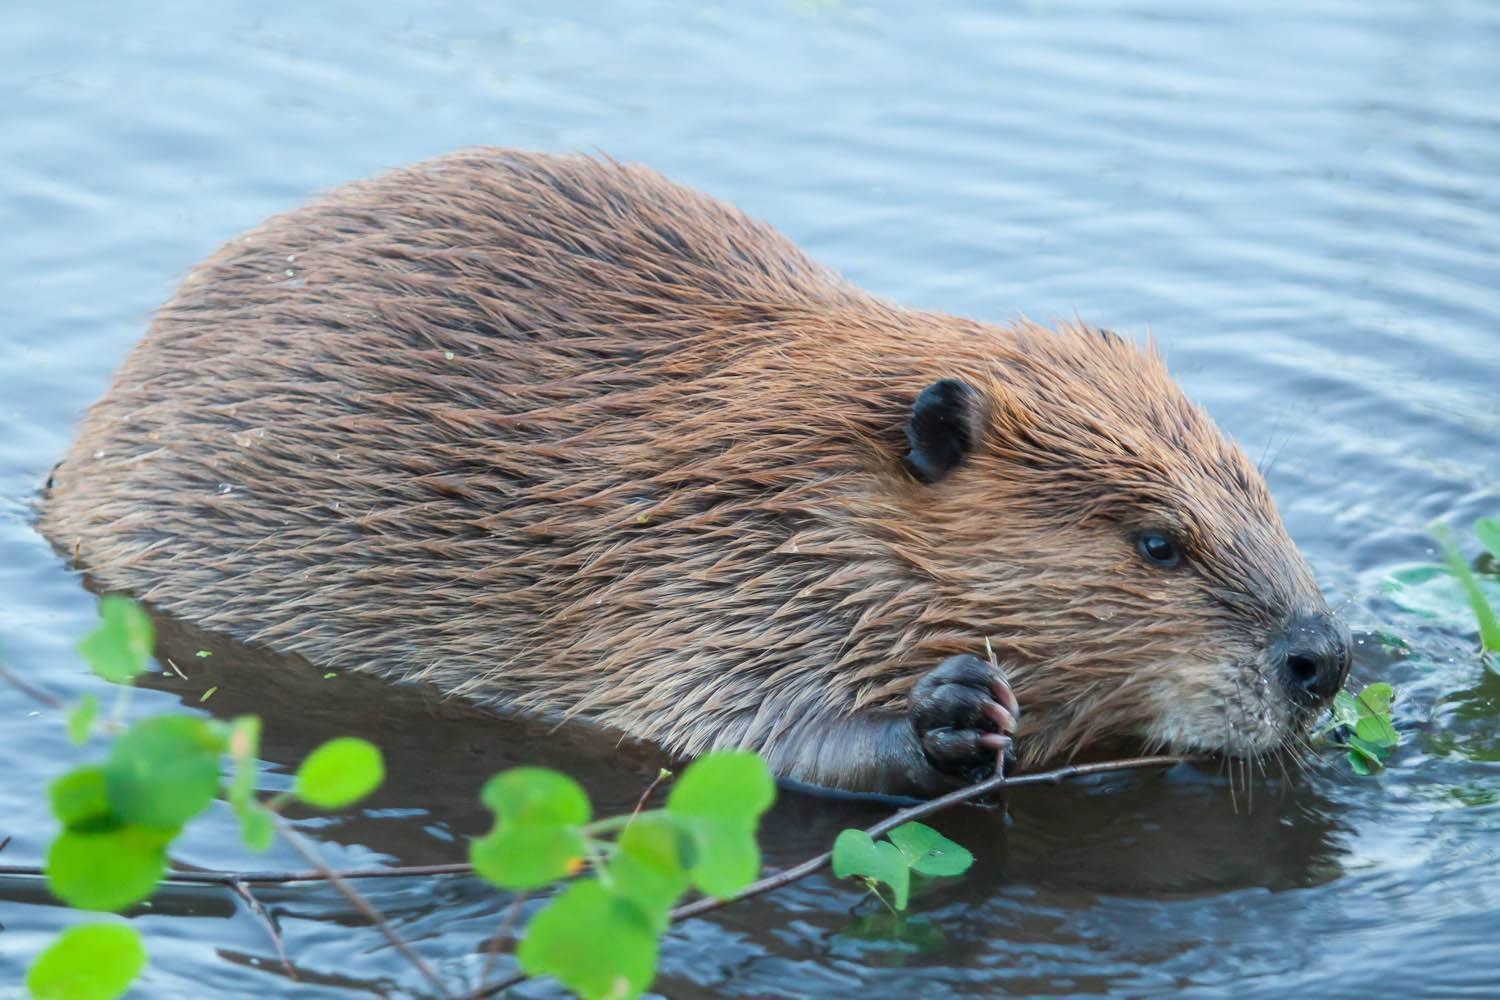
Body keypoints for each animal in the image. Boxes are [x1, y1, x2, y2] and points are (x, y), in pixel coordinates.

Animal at [38, 146, 1350, 797]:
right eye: (1157, 542)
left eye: (1261, 495)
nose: (1323, 657)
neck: (792, 472)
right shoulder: (684, 573)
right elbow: (728, 732)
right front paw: (952, 714)